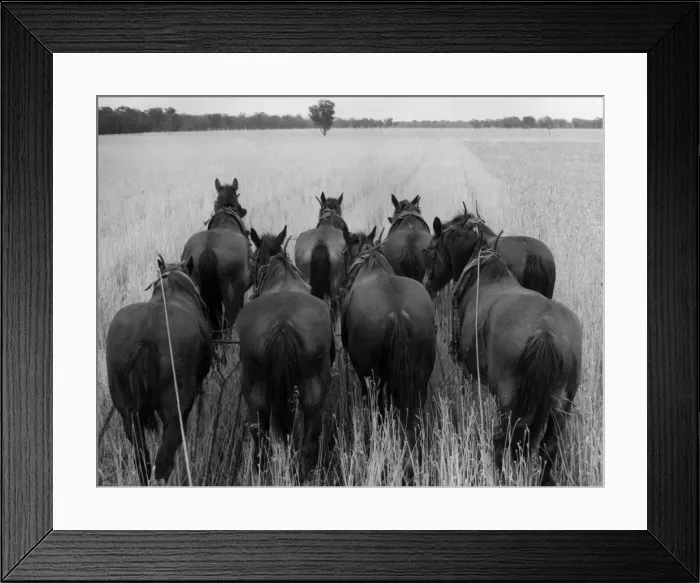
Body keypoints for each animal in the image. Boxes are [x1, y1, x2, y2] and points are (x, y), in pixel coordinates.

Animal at [340, 234, 436, 477]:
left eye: (344, 252)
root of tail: (396, 313)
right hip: (420, 379)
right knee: (414, 417)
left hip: (370, 378)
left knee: (377, 409)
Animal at [425, 229, 582, 486]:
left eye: (431, 250)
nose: (426, 283)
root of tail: (545, 331)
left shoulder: (467, 371)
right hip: (560, 407)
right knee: (547, 446)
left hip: (509, 404)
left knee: (502, 441)